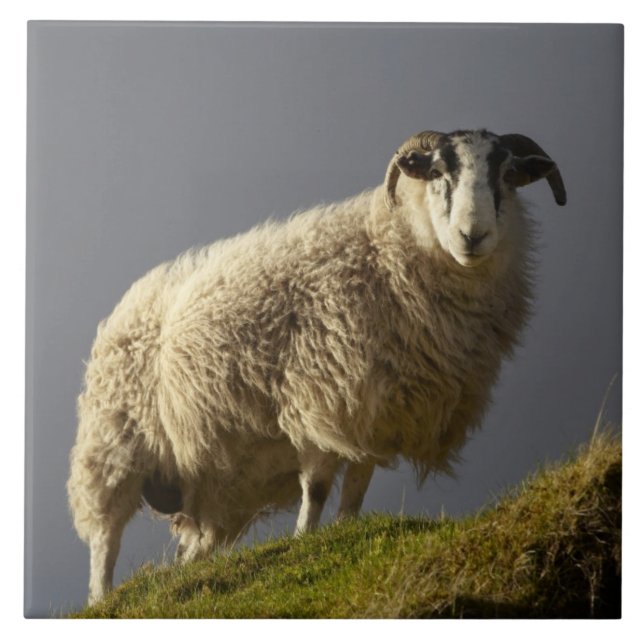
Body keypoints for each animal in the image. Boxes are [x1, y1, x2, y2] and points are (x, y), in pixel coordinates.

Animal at [67, 128, 566, 604]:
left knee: (193, 548)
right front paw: (305, 540)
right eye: (439, 172)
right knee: (105, 541)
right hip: (112, 449)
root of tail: (121, 312)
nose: (472, 236)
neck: (389, 249)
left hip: (216, 485)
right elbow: (318, 487)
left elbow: (357, 486)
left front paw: (346, 531)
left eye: (507, 175)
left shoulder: (376, 414)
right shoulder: (317, 398)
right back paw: (102, 598)